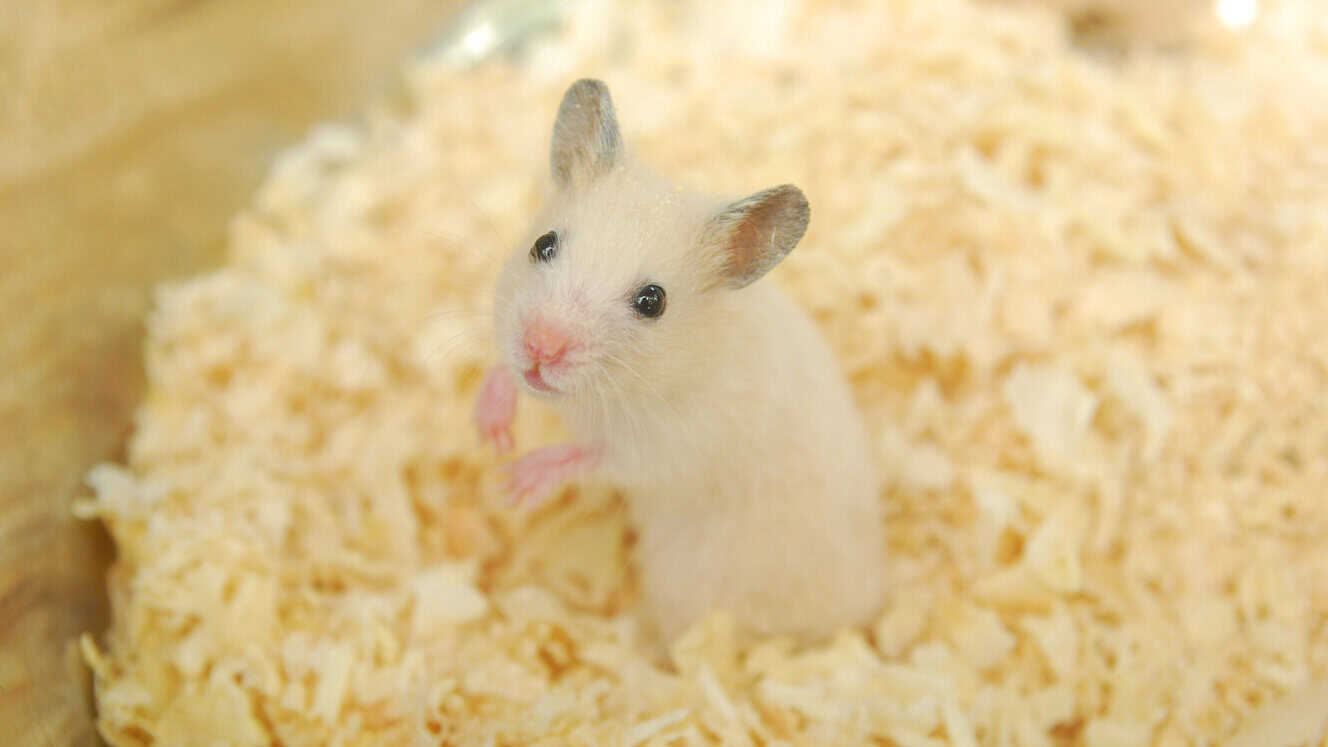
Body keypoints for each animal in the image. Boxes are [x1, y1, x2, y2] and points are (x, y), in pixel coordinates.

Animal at [475, 79, 887, 645]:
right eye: (543, 244)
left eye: (653, 301)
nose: (542, 346)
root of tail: (863, 614)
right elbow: (504, 373)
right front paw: (490, 432)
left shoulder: (662, 447)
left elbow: (590, 455)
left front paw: (514, 481)